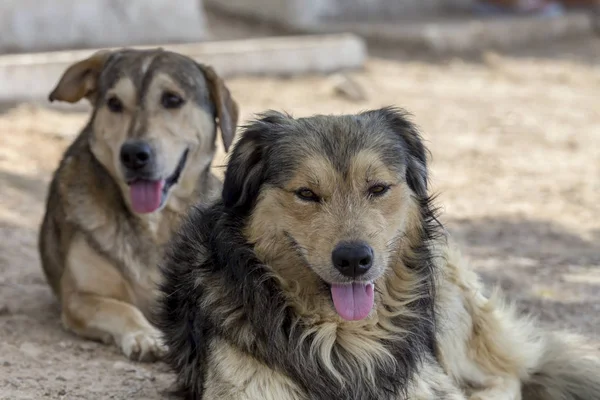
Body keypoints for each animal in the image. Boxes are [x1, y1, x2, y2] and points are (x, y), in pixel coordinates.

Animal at [37, 47, 239, 362]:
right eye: (114, 103)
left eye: (172, 99)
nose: (133, 154)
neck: (153, 224)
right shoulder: (78, 298)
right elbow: (121, 308)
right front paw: (145, 335)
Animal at [156, 108, 600, 398]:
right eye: (306, 194)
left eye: (378, 188)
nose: (354, 260)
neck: (344, 336)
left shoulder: (424, 384)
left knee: (508, 378)